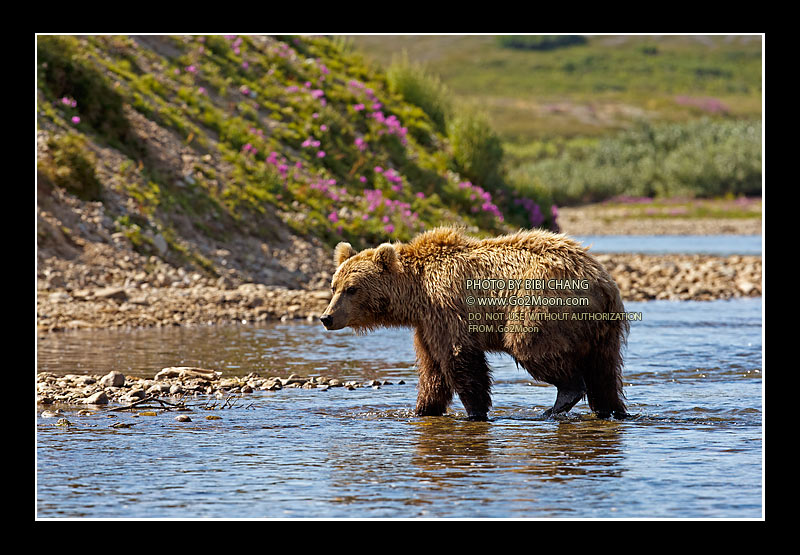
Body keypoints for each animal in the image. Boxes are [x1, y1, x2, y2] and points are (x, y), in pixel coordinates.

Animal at [320, 227, 628, 421]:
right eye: (334, 286)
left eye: (352, 289)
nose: (326, 317)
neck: (416, 293)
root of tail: (603, 281)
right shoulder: (426, 325)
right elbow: (432, 370)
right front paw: (422, 409)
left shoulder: (447, 309)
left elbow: (460, 360)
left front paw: (475, 411)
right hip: (602, 329)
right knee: (604, 371)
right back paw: (611, 409)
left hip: (542, 305)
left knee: (532, 347)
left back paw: (559, 402)